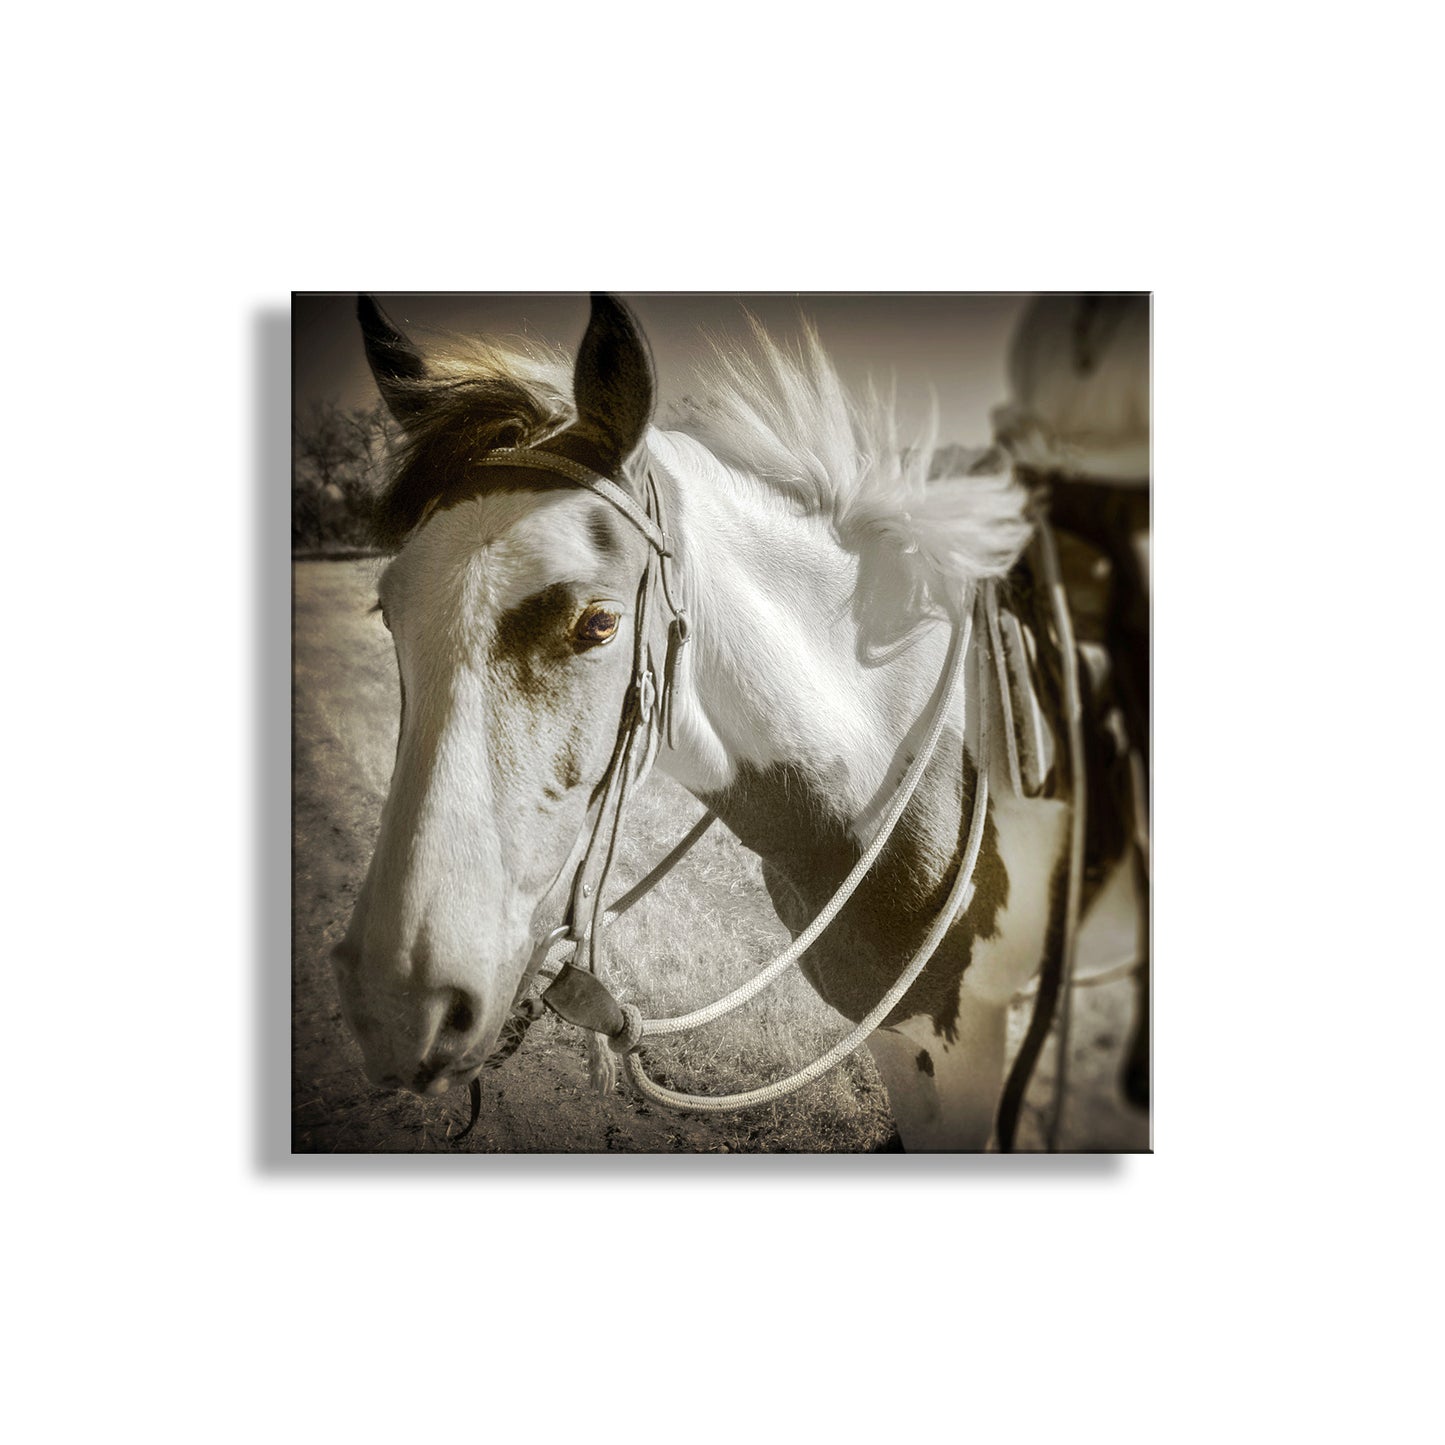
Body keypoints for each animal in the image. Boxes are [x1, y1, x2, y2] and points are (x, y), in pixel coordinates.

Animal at [331, 292, 1135, 1150]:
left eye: (599, 623)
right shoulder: (898, 1033)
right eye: (388, 610)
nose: (398, 1007)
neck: (902, 755)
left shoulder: (961, 1032)